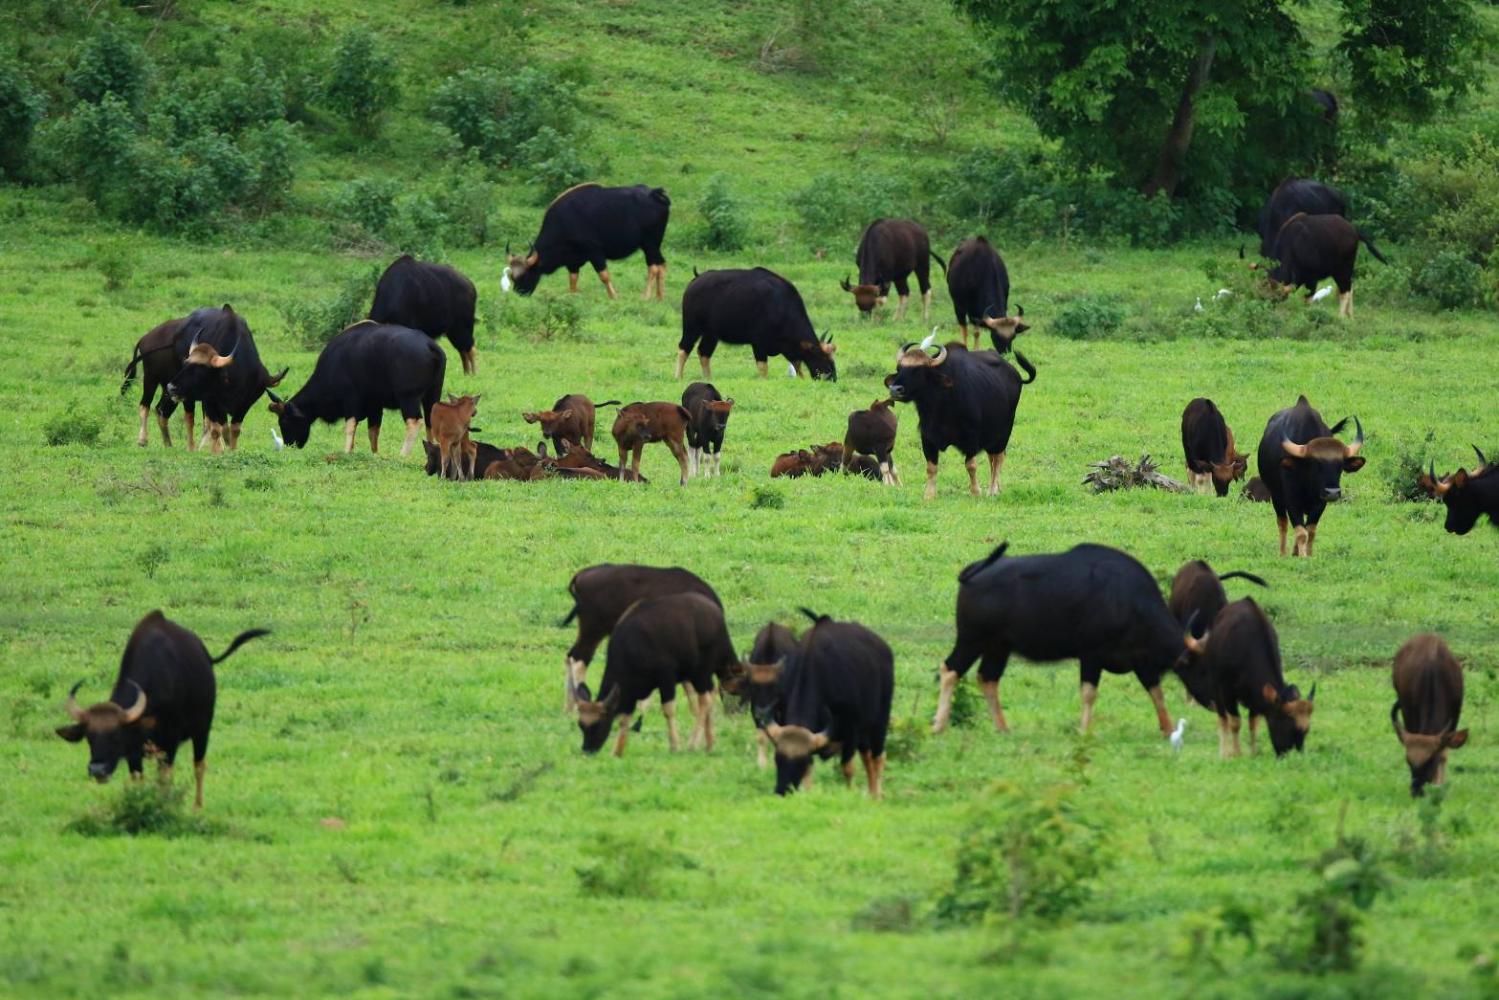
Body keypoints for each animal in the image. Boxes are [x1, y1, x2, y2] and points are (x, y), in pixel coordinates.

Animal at [54, 611, 271, 815]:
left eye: (116, 735)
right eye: (89, 737)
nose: (97, 770)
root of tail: (205, 655)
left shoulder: (170, 743)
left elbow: (165, 778)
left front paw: (164, 805)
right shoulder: (134, 752)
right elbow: (138, 779)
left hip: (202, 729)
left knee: (199, 765)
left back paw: (197, 806)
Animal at [566, 593, 737, 749]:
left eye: (597, 724)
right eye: (581, 725)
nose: (587, 749)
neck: (630, 648)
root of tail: (715, 612)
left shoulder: (666, 679)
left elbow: (668, 710)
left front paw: (675, 745)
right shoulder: (629, 690)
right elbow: (625, 718)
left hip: (701, 673)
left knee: (706, 699)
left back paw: (694, 743)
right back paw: (709, 741)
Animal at [1385, 632, 1469, 797]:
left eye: (1431, 760)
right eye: (1408, 761)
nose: (1416, 791)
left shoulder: (1455, 714)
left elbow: (1444, 751)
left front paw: (1439, 785)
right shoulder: (1409, 712)